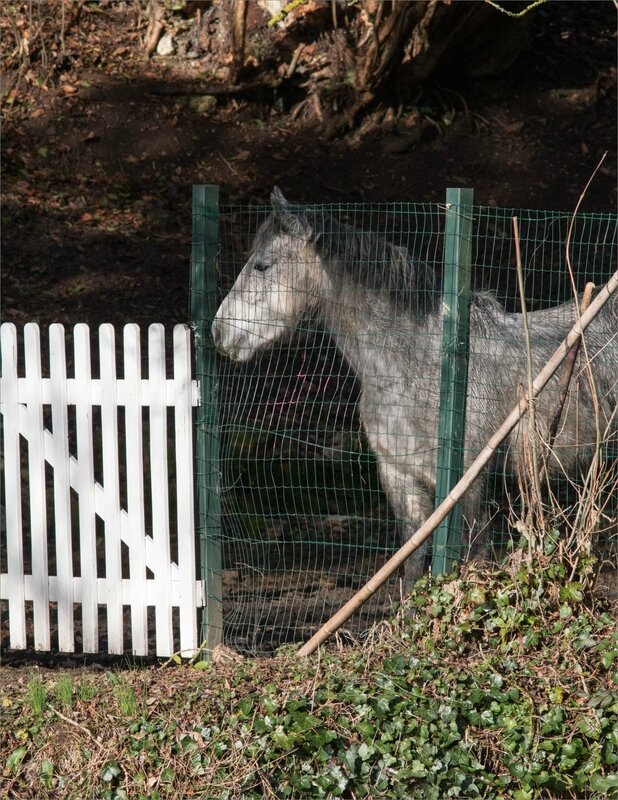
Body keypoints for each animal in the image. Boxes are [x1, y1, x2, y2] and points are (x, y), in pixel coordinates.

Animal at [212, 188, 616, 588]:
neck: (419, 363)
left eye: (262, 265)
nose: (219, 332)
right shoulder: (400, 476)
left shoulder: (468, 483)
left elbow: (474, 558)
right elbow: (412, 567)